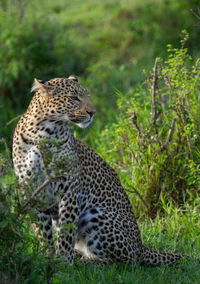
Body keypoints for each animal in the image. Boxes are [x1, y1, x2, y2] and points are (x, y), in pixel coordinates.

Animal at [11, 75, 182, 266]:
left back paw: (85, 262)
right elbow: (43, 232)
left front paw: (63, 263)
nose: (92, 112)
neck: (42, 132)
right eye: (74, 98)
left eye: (87, 96)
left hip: (96, 216)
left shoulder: (69, 189)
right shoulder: (33, 191)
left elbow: (66, 232)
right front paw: (47, 258)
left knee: (122, 261)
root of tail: (140, 246)